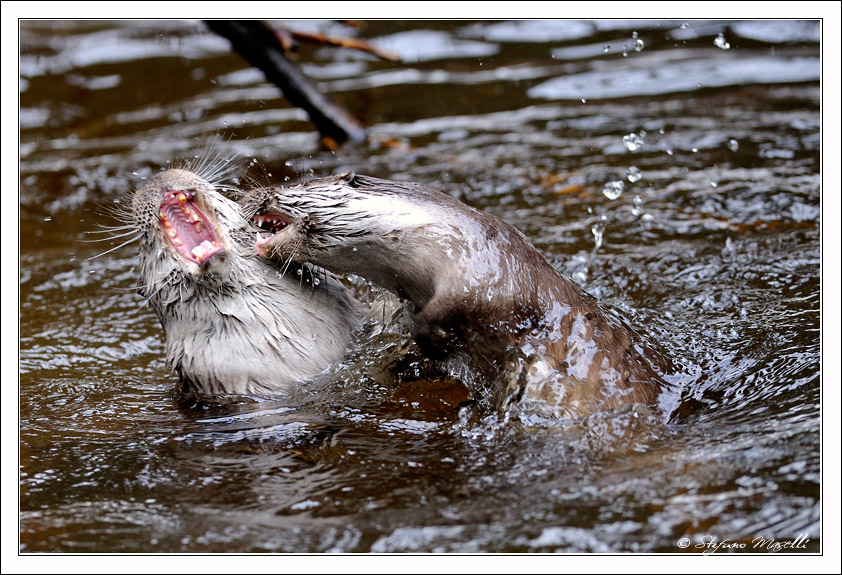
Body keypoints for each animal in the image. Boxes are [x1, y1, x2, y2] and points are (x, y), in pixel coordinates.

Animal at [240, 171, 668, 418]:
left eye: (290, 184)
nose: (251, 195)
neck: (439, 235)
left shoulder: (486, 275)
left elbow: (444, 318)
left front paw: (433, 345)